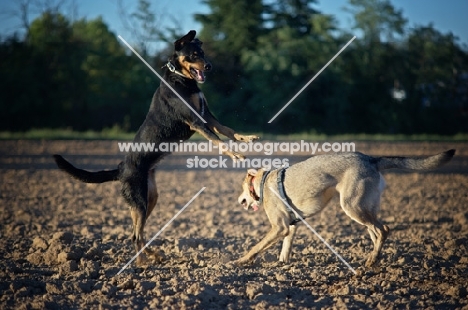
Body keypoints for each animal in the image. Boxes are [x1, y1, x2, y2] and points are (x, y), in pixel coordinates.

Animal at [55, 30, 260, 266]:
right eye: (193, 55)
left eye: (203, 52)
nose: (208, 66)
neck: (182, 80)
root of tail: (121, 169)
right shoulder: (197, 121)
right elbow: (218, 140)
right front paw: (235, 154)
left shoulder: (207, 115)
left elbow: (228, 130)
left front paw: (246, 138)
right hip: (139, 200)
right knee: (135, 235)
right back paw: (142, 263)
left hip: (149, 198)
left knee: (139, 233)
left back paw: (154, 256)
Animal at [236, 150, 456, 266]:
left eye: (242, 188)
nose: (239, 201)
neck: (264, 183)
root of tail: (370, 158)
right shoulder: (290, 226)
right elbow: (285, 246)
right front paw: (282, 263)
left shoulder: (279, 227)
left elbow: (257, 246)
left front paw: (241, 260)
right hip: (364, 209)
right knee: (377, 233)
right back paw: (374, 259)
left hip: (352, 206)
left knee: (383, 230)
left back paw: (371, 261)